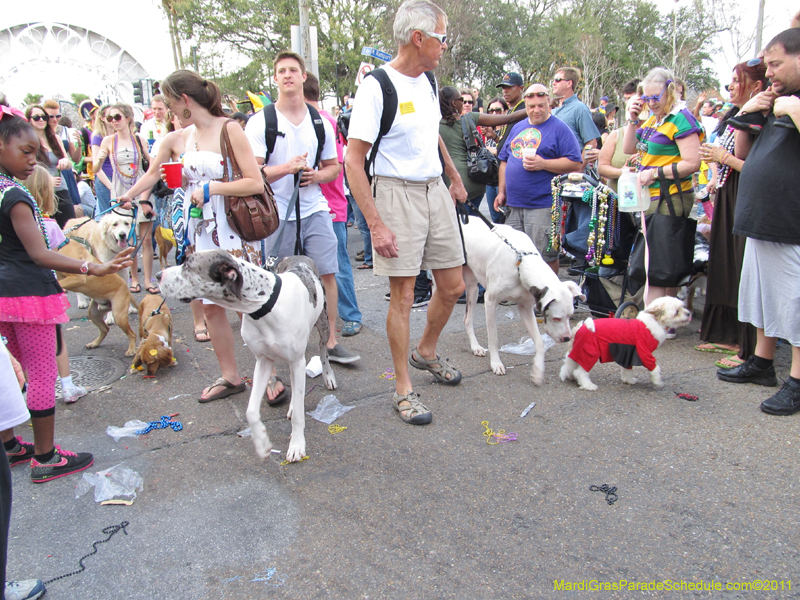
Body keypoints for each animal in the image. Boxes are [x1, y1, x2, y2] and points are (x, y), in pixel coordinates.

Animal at [159, 251, 338, 462]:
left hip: (323, 324)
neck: (263, 305)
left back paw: (328, 375)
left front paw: (296, 445)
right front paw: (261, 442)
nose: (158, 275)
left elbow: (298, 417)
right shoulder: (263, 360)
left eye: (187, 265)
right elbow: (251, 411)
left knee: (322, 349)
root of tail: (298, 255)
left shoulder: (296, 360)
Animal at [460, 219, 584, 384]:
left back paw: (475, 347)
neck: (520, 263)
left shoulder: (525, 307)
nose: (567, 338)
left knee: (467, 319)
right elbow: (493, 339)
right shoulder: (490, 301)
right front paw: (496, 363)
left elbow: (539, 342)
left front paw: (537, 370)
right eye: (556, 318)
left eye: (570, 316)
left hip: (473, 288)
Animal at [560, 294, 692, 390]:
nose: (689, 313)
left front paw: (629, 380)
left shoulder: (628, 353)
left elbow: (627, 370)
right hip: (590, 354)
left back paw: (572, 378)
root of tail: (580, 328)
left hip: (578, 351)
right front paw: (658, 381)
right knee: (580, 372)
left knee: (570, 366)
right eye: (676, 311)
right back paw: (588, 385)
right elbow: (654, 368)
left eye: (682, 307)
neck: (654, 322)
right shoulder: (644, 353)